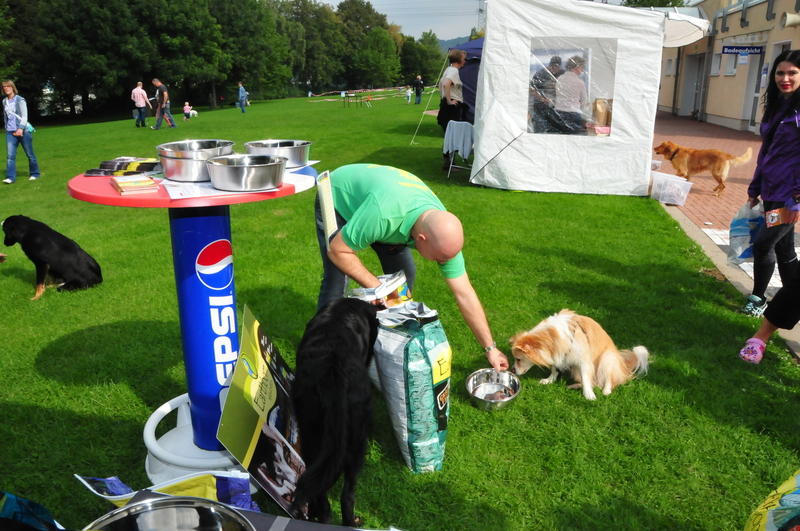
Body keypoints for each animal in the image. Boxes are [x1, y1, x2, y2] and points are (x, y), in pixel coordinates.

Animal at [509, 309, 649, 400]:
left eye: (518, 359)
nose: (512, 370)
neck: (551, 337)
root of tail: (624, 366)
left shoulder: (583, 360)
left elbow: (586, 378)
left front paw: (588, 394)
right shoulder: (558, 355)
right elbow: (555, 369)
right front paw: (549, 380)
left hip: (607, 358)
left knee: (607, 381)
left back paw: (606, 390)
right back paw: (574, 385)